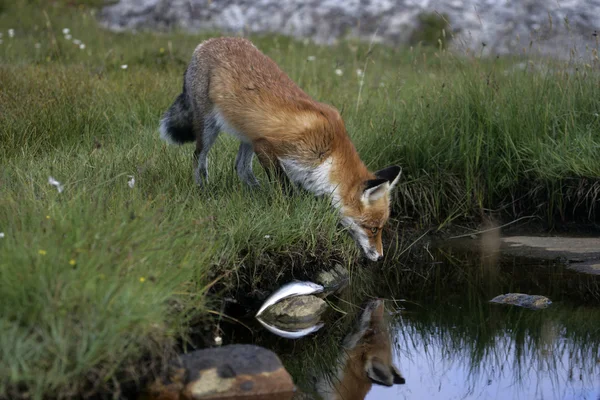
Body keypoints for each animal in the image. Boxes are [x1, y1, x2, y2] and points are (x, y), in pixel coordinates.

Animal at [162, 37, 400, 260]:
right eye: (373, 229)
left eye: (380, 228)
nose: (380, 257)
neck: (329, 152)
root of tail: (208, 42)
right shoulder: (267, 146)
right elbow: (285, 188)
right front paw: (289, 211)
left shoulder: (290, 162)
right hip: (209, 127)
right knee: (199, 160)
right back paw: (203, 190)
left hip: (248, 135)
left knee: (240, 168)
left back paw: (258, 193)